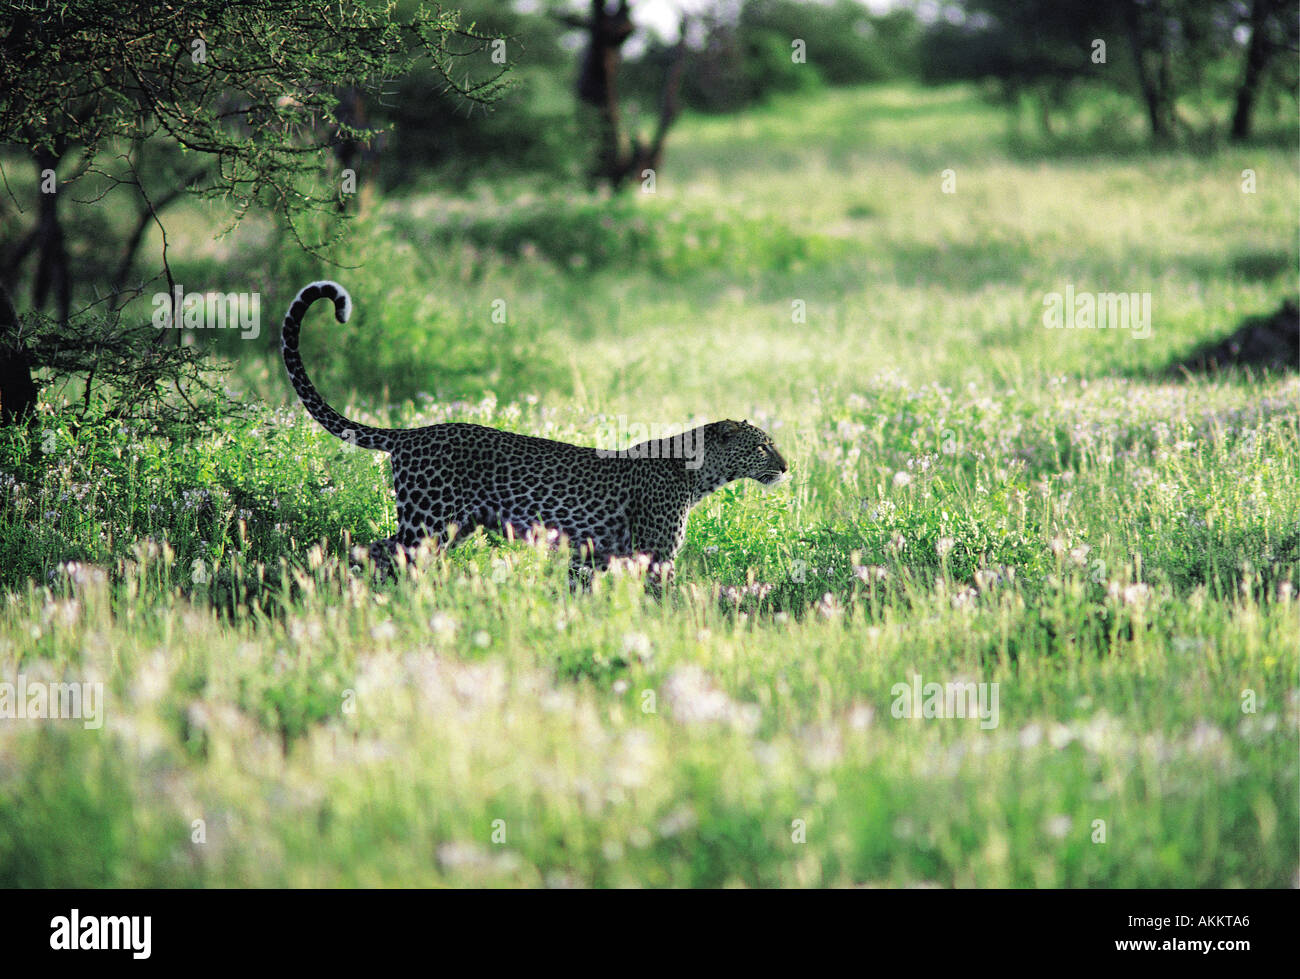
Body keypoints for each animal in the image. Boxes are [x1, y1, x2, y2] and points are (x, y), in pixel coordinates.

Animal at [282, 278, 790, 577]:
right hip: (426, 523)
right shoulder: (654, 556)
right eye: (762, 447)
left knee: (370, 551)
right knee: (377, 554)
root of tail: (415, 432)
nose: (787, 467)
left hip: (448, 529)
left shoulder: (591, 558)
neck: (699, 474)